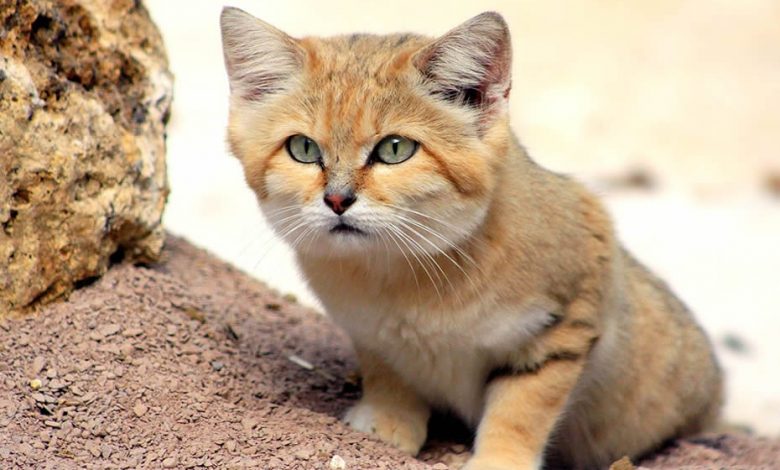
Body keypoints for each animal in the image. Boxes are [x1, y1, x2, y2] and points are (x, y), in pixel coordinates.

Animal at [218, 8, 720, 470]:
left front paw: (500, 460)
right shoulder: (371, 334)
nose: (337, 200)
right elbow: (389, 377)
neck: (405, 273)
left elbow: (521, 408)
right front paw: (386, 424)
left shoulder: (565, 323)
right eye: (303, 148)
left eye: (395, 149)